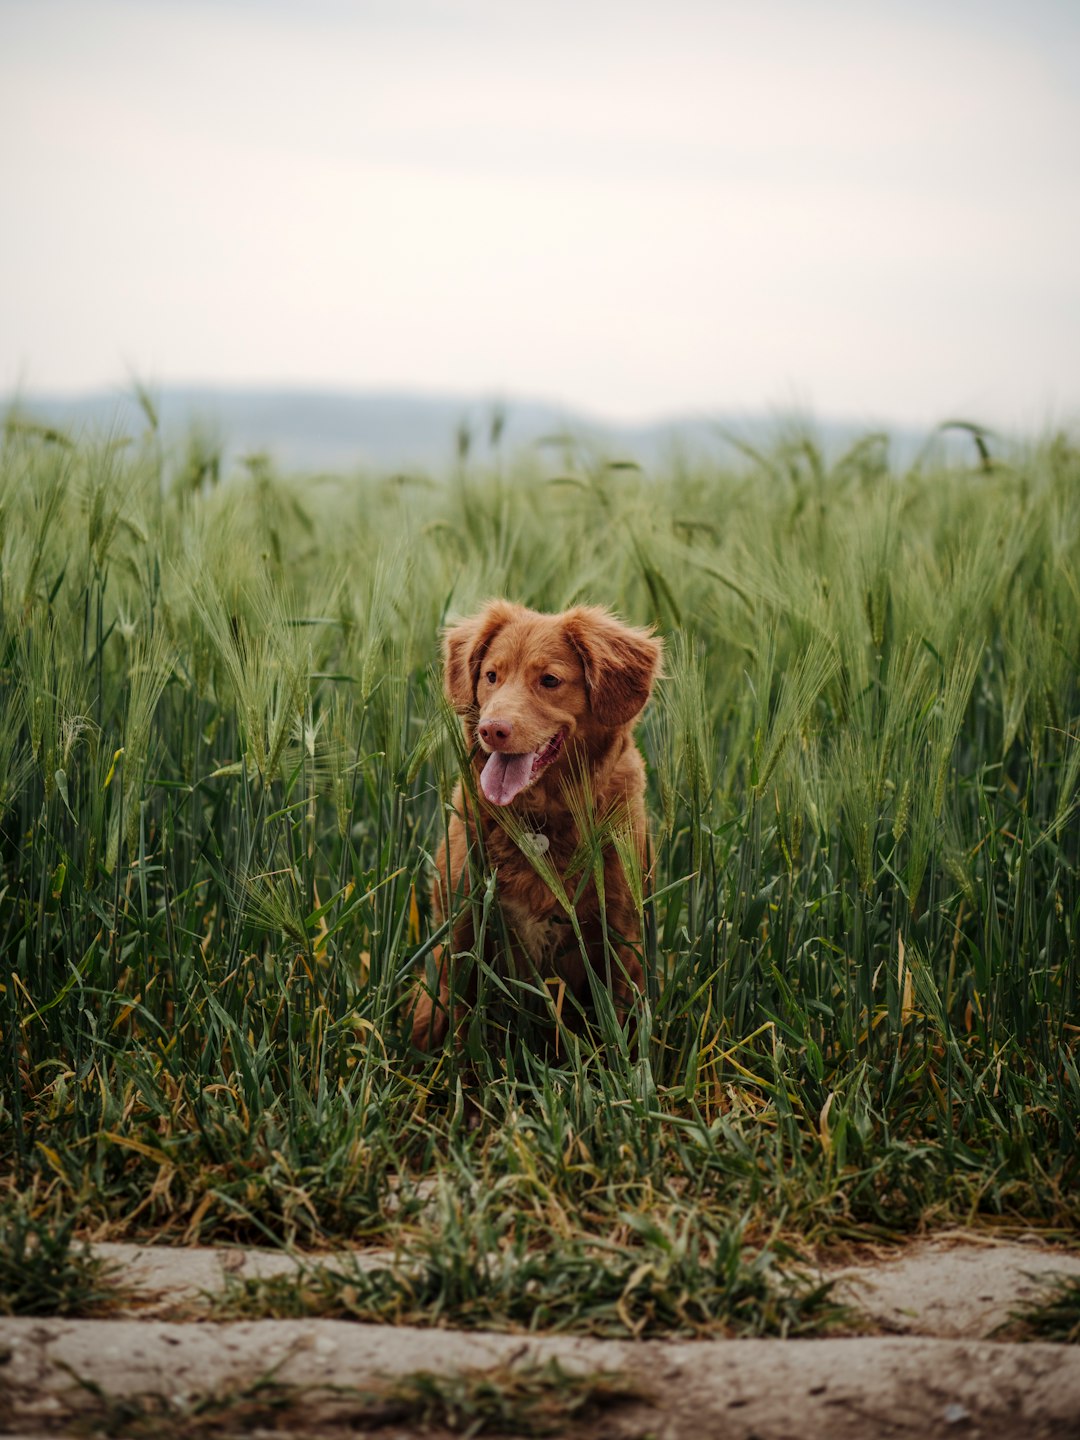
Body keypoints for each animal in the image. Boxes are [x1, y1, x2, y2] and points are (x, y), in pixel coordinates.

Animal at [408, 601, 659, 1054]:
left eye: (549, 680)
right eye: (492, 675)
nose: (491, 729)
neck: (537, 822)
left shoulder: (619, 938)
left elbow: (620, 1025)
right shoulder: (460, 932)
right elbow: (451, 1024)